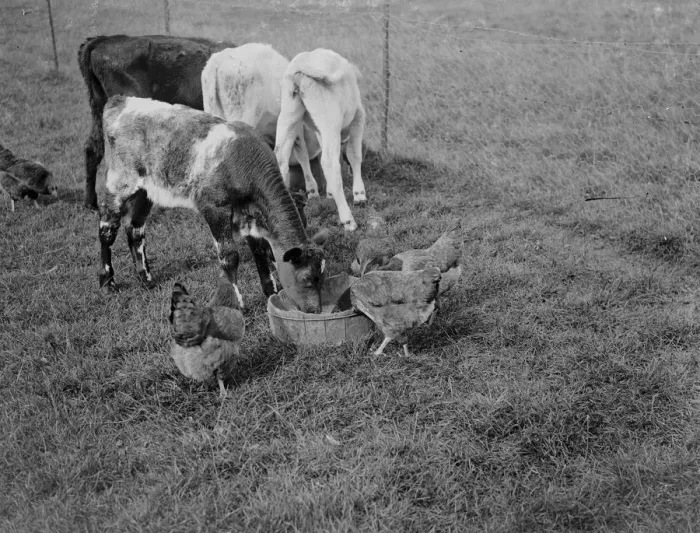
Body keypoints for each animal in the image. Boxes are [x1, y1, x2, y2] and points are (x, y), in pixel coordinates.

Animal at [99, 95, 328, 313]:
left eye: (322, 278)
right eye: (306, 279)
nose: (315, 311)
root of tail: (120, 101)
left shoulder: (249, 216)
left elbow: (260, 253)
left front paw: (271, 293)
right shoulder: (214, 208)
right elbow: (229, 256)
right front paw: (237, 304)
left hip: (146, 191)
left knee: (135, 230)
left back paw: (146, 279)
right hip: (118, 183)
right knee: (107, 230)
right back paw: (107, 283)